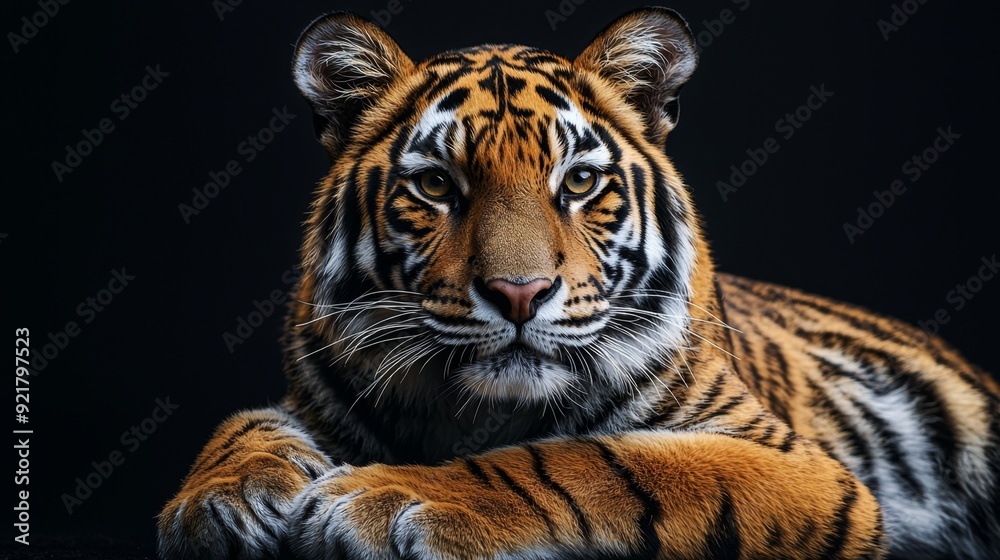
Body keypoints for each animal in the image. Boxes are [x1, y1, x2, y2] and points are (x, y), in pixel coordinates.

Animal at [156, 7, 1000, 559]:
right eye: (435, 185)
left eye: (581, 181)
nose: (519, 294)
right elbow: (243, 423)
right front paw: (221, 501)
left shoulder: (792, 462)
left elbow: (598, 459)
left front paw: (387, 497)